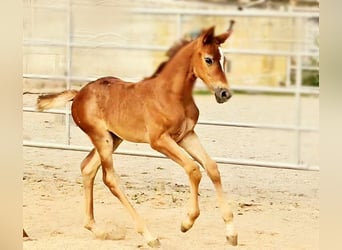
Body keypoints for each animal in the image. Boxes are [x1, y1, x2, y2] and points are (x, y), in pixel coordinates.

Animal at [36, 21, 236, 246]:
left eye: (224, 60)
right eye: (208, 59)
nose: (224, 93)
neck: (172, 95)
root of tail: (78, 94)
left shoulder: (187, 136)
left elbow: (211, 168)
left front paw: (231, 233)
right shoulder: (159, 140)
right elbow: (193, 169)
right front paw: (187, 222)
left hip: (114, 138)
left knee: (87, 168)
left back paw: (98, 230)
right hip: (101, 138)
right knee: (110, 179)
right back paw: (149, 235)